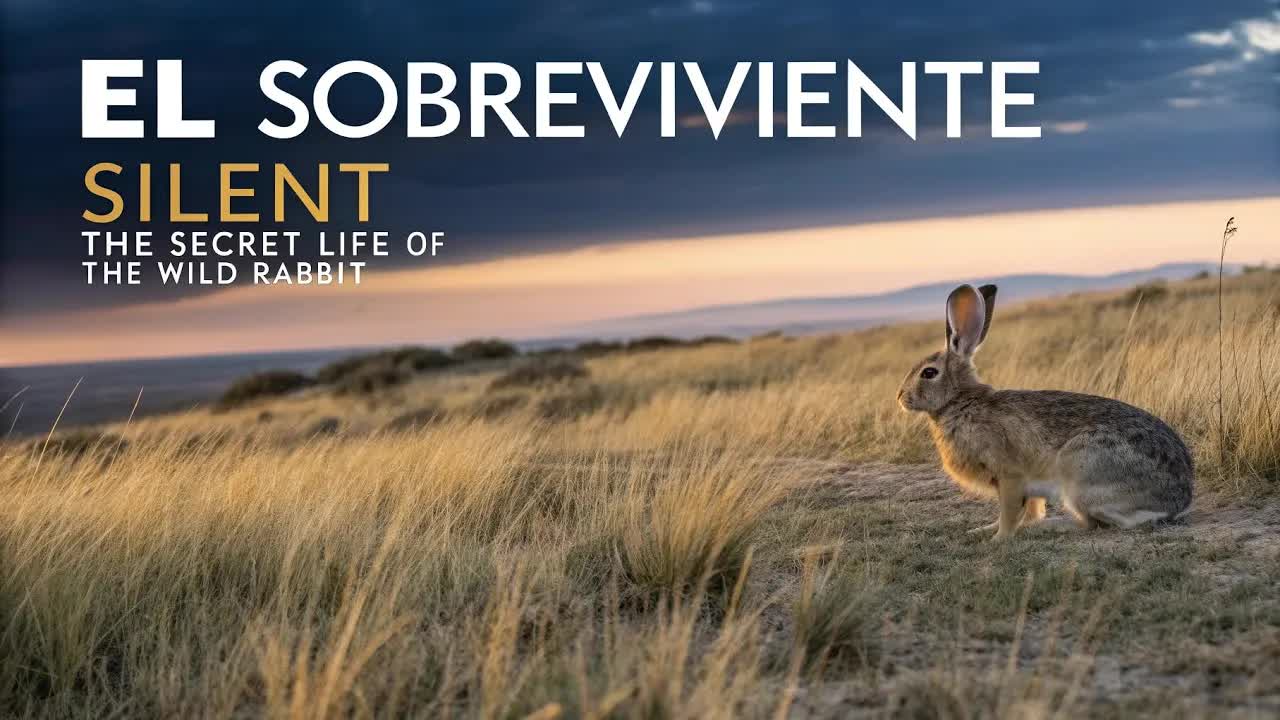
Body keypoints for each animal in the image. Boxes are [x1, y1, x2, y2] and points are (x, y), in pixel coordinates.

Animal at [896, 283, 1193, 540]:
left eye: (929, 373)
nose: (900, 397)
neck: (959, 401)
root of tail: (1179, 498)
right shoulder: (1025, 488)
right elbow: (1028, 510)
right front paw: (982, 530)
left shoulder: (1010, 476)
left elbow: (1009, 513)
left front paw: (999, 538)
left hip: (1079, 473)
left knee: (1094, 523)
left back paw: (1050, 526)